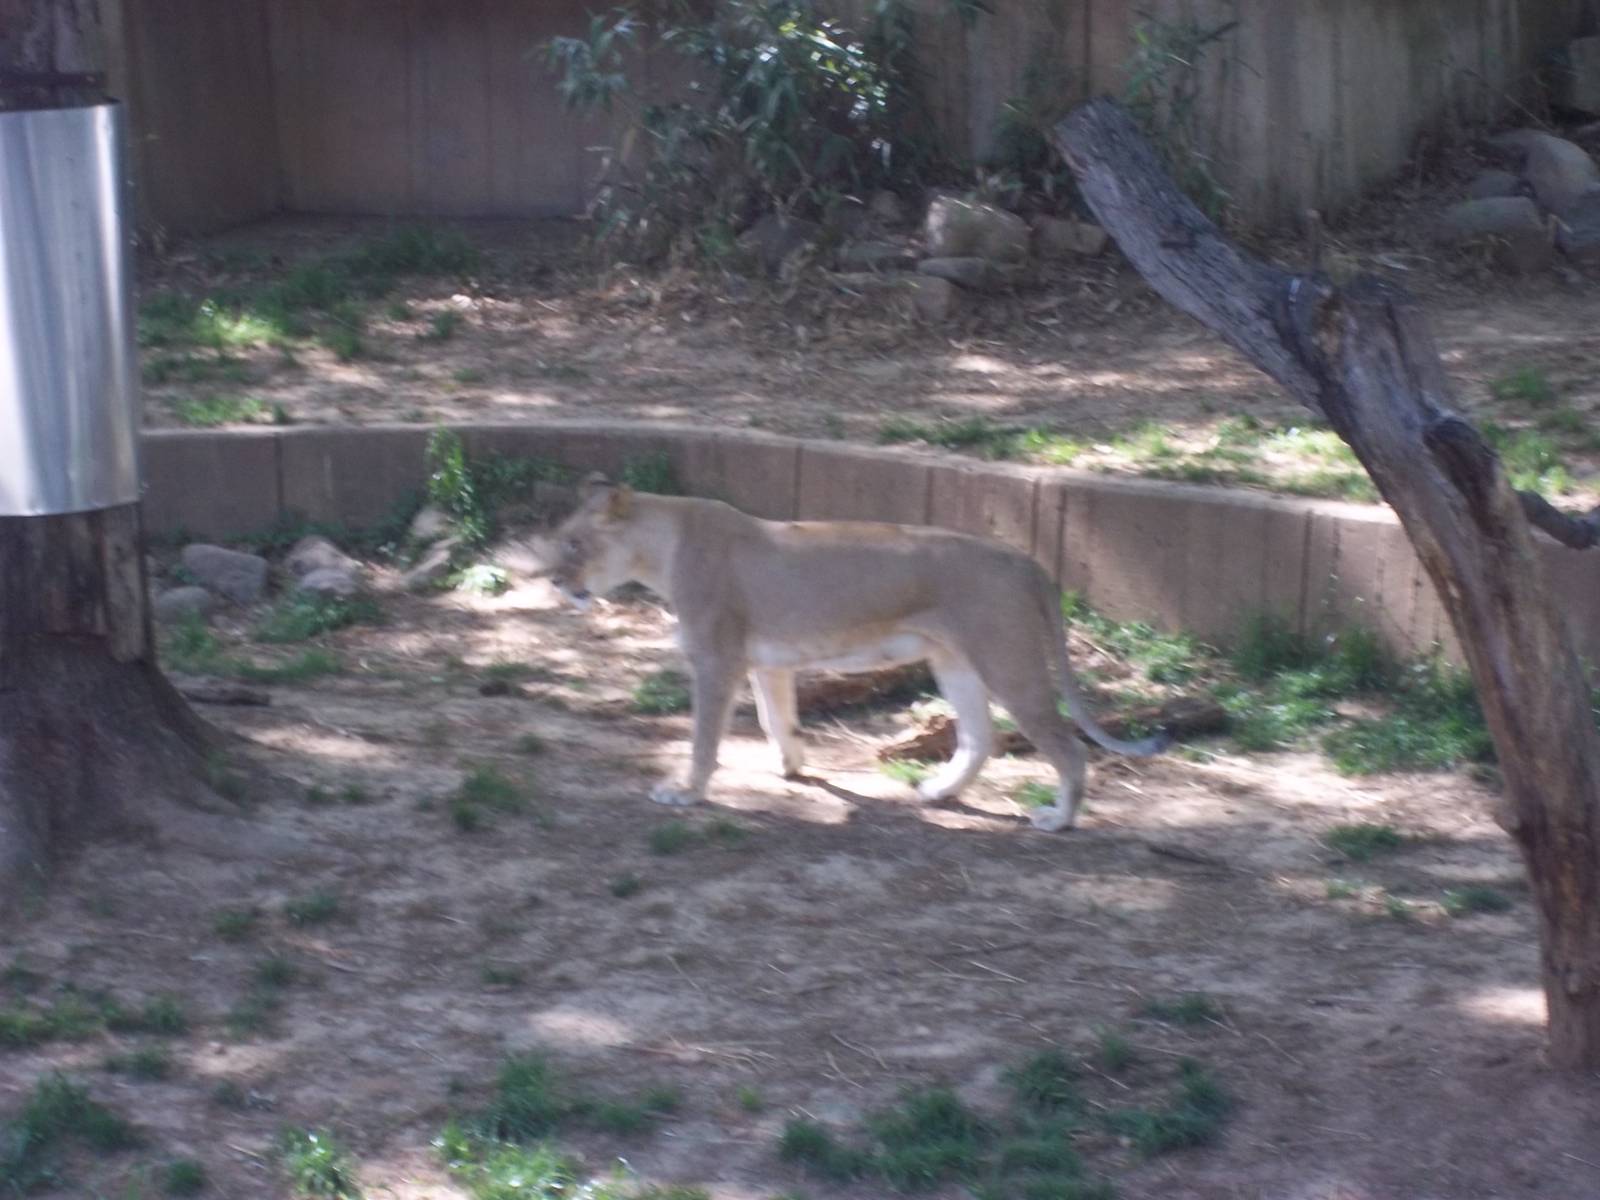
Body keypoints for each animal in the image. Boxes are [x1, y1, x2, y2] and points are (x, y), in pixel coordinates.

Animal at [549, 477, 1169, 831]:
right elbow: (778, 720)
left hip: (1008, 661)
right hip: (954, 661)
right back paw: (938, 792)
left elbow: (704, 738)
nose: (555, 581)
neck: (661, 546)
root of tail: (1025, 559)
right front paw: (792, 769)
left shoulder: (715, 659)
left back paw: (1058, 819)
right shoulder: (767, 663)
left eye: (574, 542)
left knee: (1068, 748)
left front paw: (685, 793)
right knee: (979, 737)